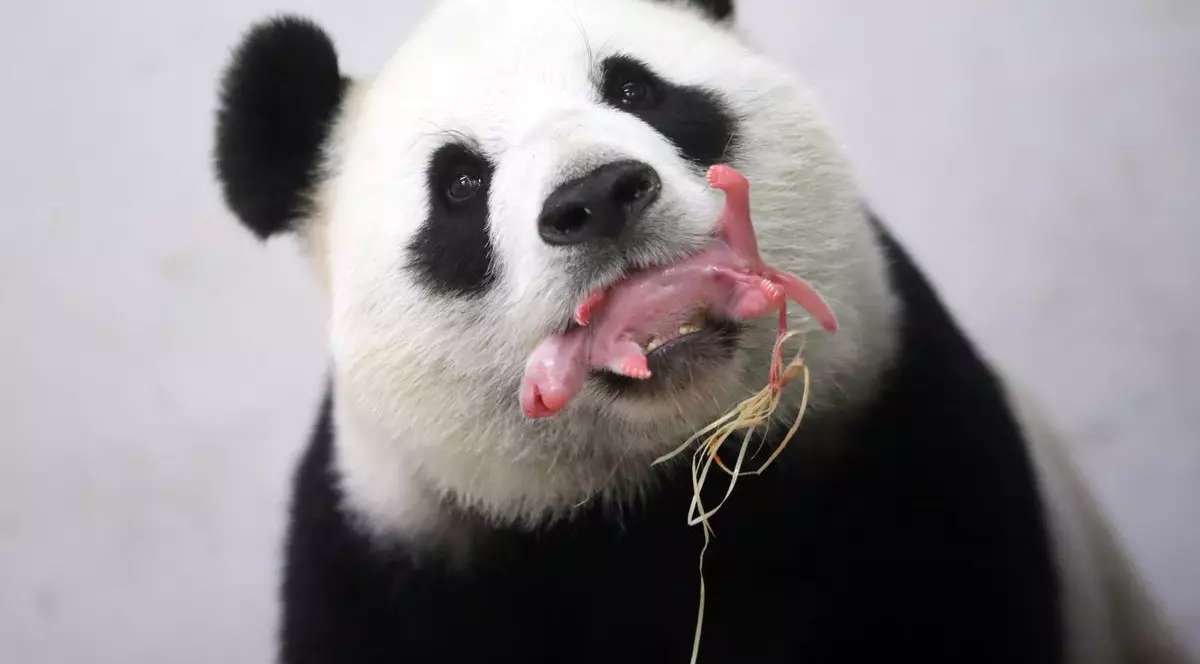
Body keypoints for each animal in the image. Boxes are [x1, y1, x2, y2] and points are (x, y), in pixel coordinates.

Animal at [212, 1, 1190, 662]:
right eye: (458, 183)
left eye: (636, 88)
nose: (598, 196)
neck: (659, 484)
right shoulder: (395, 560)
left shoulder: (908, 436)